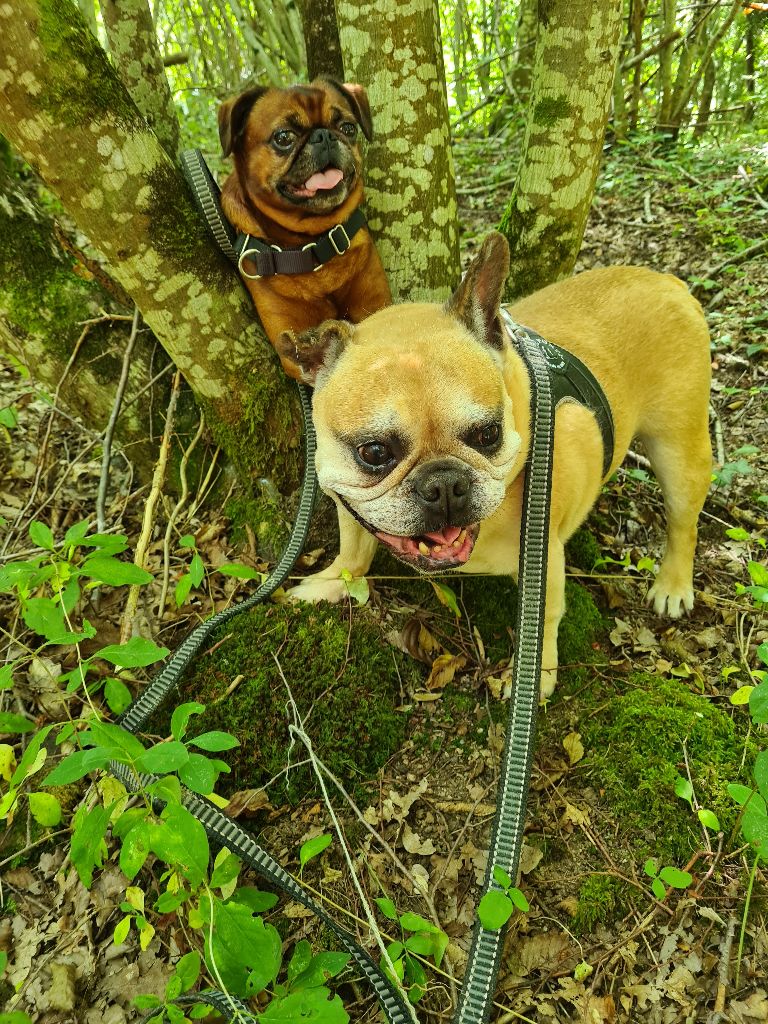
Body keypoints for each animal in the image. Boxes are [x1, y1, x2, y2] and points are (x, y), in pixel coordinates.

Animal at [219, 78, 393, 376]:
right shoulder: (294, 342)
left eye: (348, 128)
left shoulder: (375, 304)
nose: (324, 136)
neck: (313, 242)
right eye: (283, 137)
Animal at [274, 232, 712, 696]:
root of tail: (668, 283)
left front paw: (536, 673)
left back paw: (672, 584)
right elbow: (354, 552)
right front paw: (327, 583)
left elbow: (545, 619)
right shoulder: (347, 503)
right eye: (374, 453)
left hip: (678, 451)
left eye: (488, 434)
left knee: (683, 522)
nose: (443, 484)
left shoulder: (545, 561)